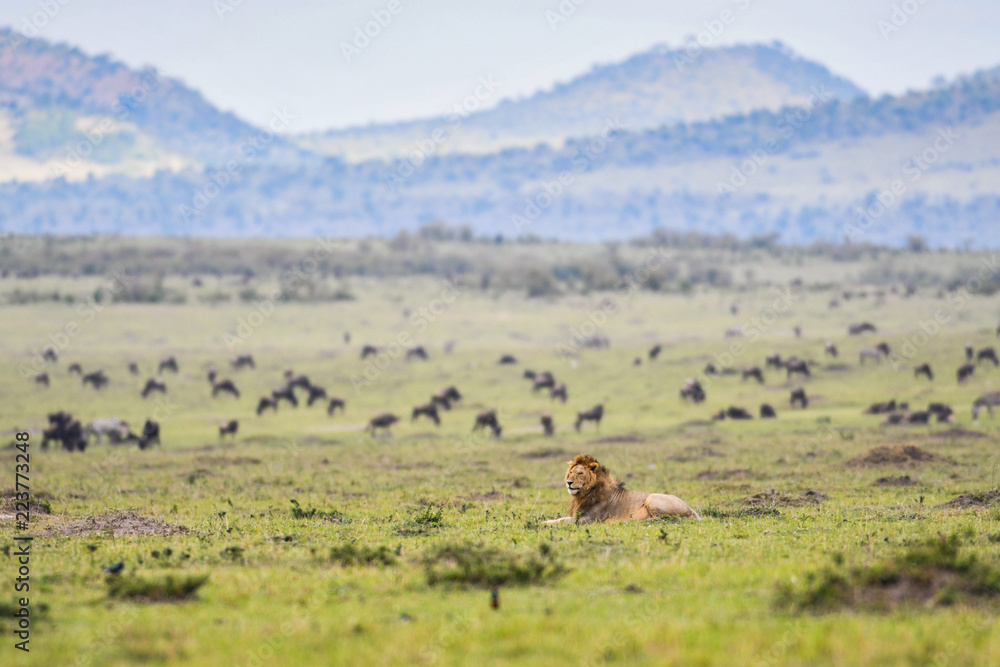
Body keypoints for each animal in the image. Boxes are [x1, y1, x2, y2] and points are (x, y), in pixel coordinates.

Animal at [544, 454, 700, 528]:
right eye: (570, 473)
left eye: (580, 473)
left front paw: (545, 523)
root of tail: (691, 508)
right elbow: (562, 518)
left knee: (662, 519)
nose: (568, 483)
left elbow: (563, 520)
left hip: (652, 498)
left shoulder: (587, 519)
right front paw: (547, 521)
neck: (583, 494)